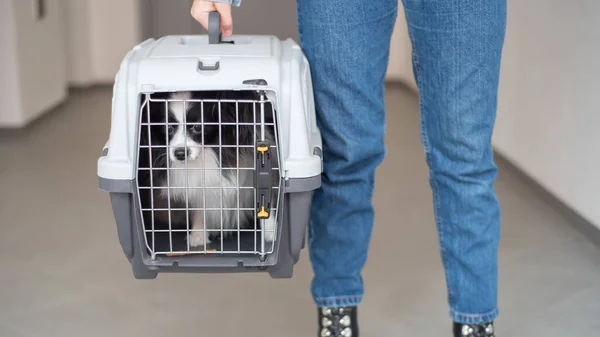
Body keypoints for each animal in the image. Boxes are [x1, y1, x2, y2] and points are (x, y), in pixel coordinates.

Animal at [139, 89, 280, 247]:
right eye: (167, 128)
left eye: (198, 127)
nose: (180, 154)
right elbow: (200, 209)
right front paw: (198, 235)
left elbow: (266, 202)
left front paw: (270, 233)